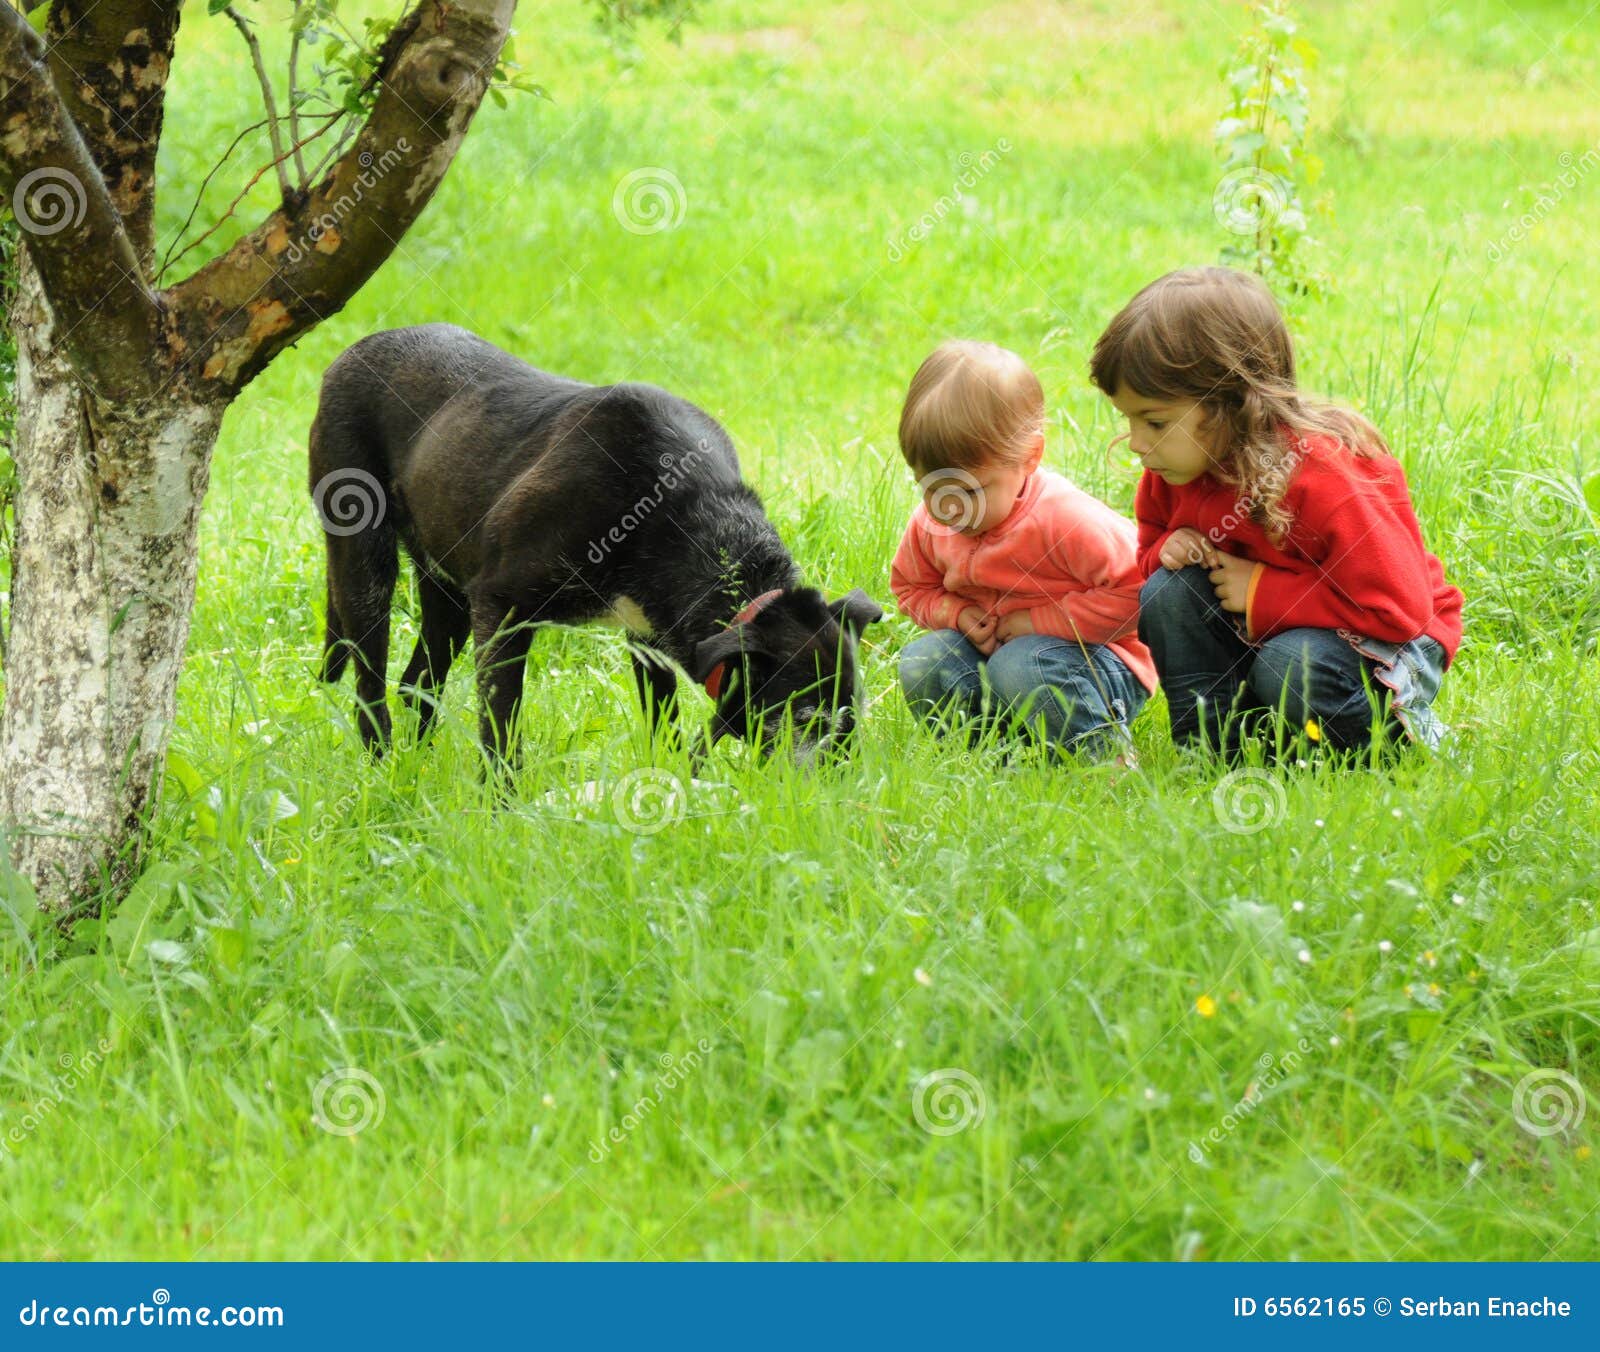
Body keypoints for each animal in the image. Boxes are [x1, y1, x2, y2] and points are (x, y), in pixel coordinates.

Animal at [305, 324, 883, 758]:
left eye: (852, 716)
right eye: (804, 717)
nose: (840, 785)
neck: (684, 513)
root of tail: (350, 352)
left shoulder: (648, 640)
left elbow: (664, 728)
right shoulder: (501, 608)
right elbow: (502, 728)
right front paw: (501, 808)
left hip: (446, 589)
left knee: (417, 683)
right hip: (365, 569)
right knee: (370, 689)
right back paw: (382, 769)